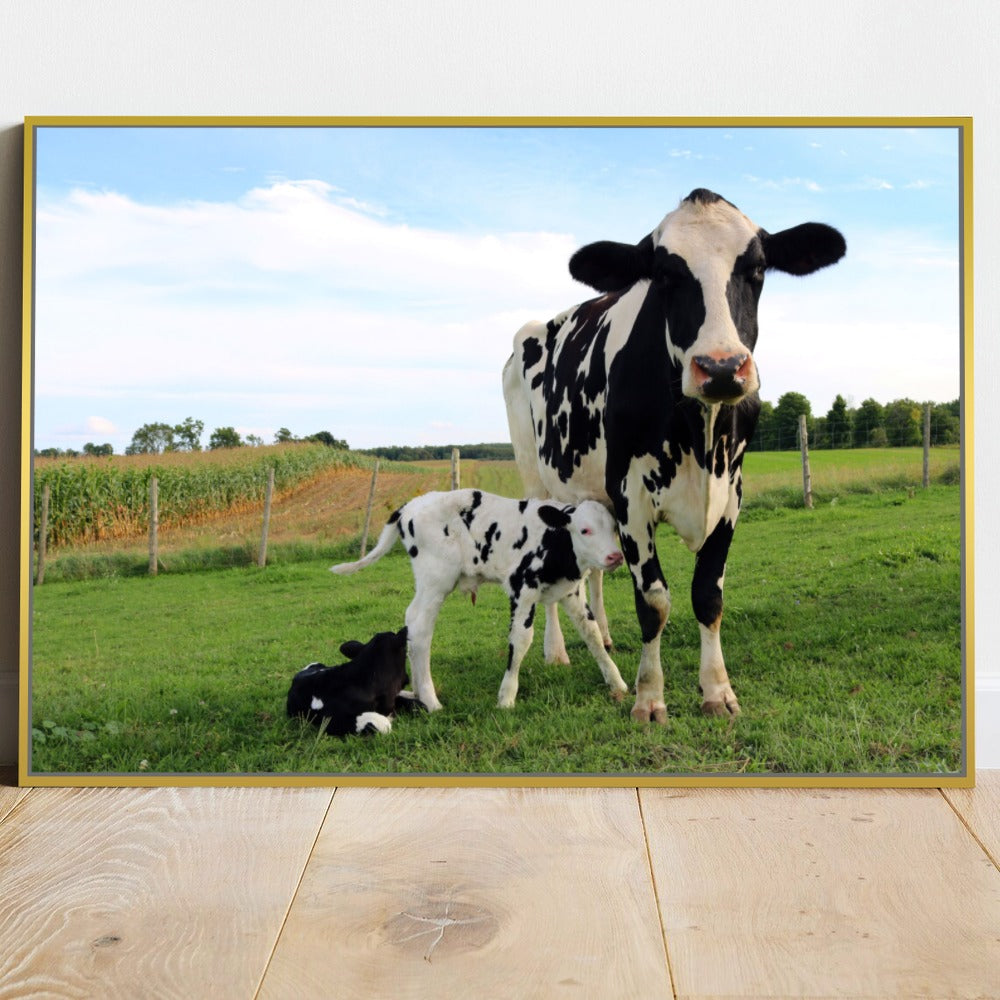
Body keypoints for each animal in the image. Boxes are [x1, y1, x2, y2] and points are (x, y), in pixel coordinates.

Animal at [330, 489, 629, 711]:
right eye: (585, 530)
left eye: (613, 527)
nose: (615, 556)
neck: (555, 541)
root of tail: (410, 505)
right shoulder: (522, 587)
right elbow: (521, 639)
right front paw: (506, 697)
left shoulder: (571, 591)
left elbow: (592, 633)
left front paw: (616, 682)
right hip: (435, 579)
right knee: (419, 627)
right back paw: (430, 699)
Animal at [502, 188, 846, 724]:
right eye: (664, 275)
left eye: (757, 269)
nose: (721, 367)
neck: (698, 436)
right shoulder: (631, 498)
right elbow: (654, 602)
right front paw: (648, 697)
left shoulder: (731, 494)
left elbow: (707, 595)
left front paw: (717, 691)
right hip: (537, 480)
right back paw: (556, 651)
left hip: (591, 494)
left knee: (595, 571)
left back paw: (604, 635)